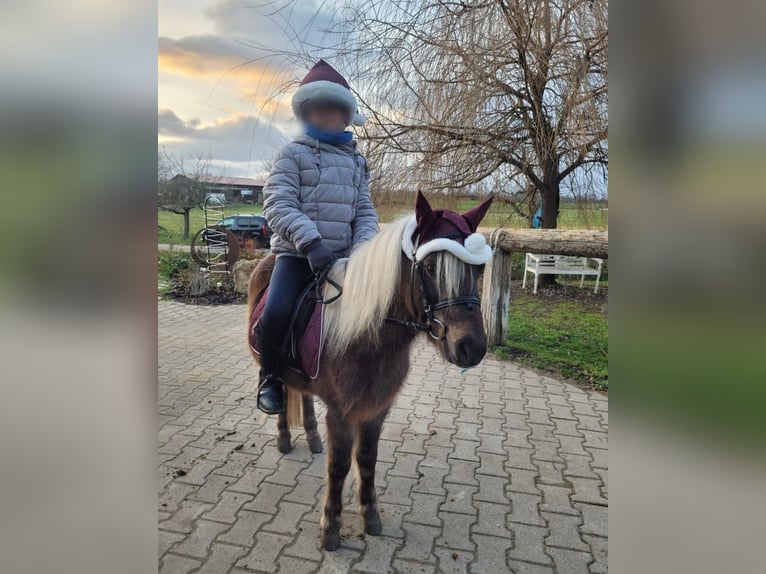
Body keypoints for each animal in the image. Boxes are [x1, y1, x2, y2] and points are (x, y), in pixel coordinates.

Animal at [247, 196, 491, 551]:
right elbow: (339, 467)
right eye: (430, 268)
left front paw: (371, 517)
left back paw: (312, 437)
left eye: (479, 268)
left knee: (302, 395)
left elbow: (367, 459)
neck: (367, 335)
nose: (471, 347)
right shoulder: (341, 413)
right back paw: (283, 437)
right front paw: (331, 529)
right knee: (280, 389)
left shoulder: (377, 410)